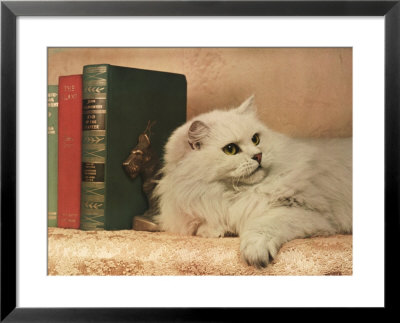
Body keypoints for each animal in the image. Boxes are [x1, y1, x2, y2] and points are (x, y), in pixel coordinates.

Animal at [153, 96, 350, 268]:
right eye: (230, 149)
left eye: (255, 139)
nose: (258, 155)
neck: (235, 194)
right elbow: (202, 227)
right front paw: (219, 231)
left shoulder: (307, 212)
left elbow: (262, 225)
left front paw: (254, 252)